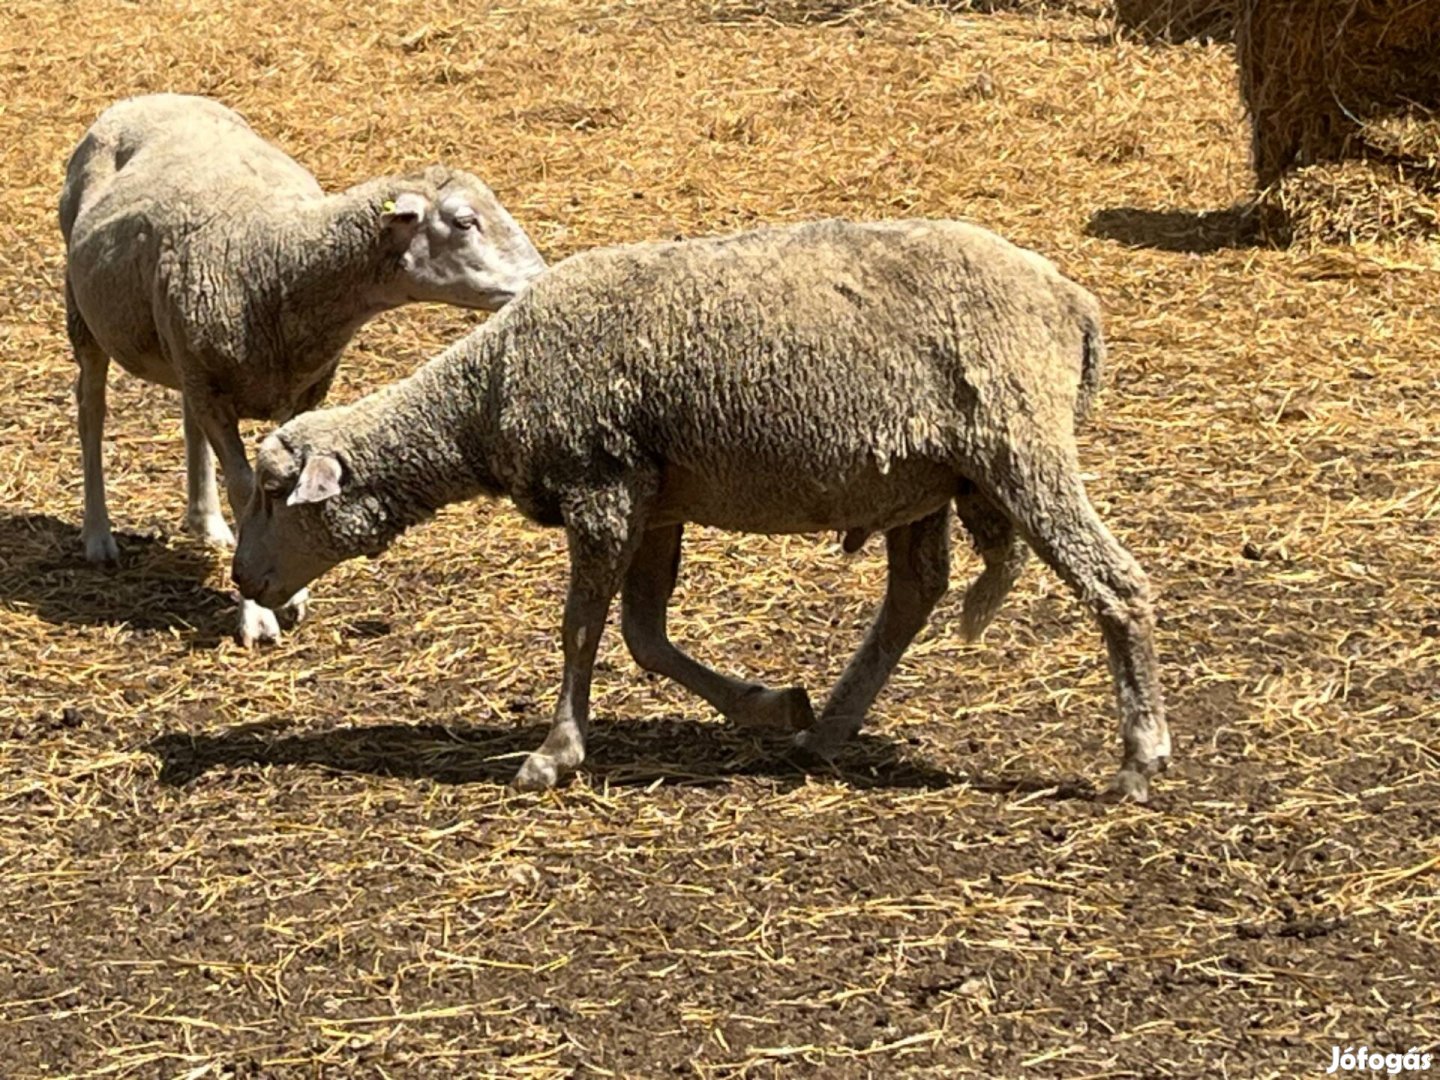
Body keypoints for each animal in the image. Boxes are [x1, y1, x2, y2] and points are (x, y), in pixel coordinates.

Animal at [59, 95, 547, 642]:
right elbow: (245, 489)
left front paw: (292, 591)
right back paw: (98, 536)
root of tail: (151, 97)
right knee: (91, 411)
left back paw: (206, 522)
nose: (541, 278)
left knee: (186, 419)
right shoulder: (215, 390)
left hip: (186, 354)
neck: (277, 259)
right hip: (85, 314)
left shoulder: (299, 387)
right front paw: (256, 617)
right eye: (465, 222)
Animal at [224, 216, 1169, 806]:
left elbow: (581, 628)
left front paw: (551, 755)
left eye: (274, 492)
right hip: (923, 477)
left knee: (1116, 583)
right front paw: (769, 702)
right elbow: (644, 633)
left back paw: (1139, 758)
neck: (483, 400)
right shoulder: (655, 498)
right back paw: (824, 731)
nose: (243, 579)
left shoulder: (601, 485)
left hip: (1019, 445)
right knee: (914, 592)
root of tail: (1072, 301)